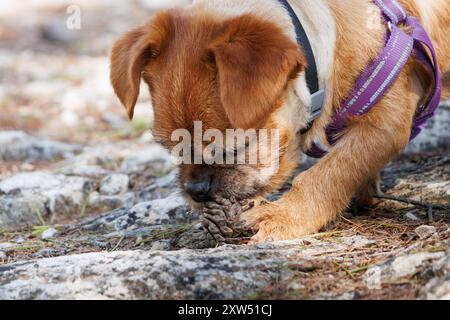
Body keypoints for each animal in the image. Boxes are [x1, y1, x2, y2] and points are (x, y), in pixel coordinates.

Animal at [110, 0, 450, 242]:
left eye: (235, 148)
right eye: (171, 147)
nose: (196, 190)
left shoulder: (385, 124)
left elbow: (331, 171)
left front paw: (284, 215)